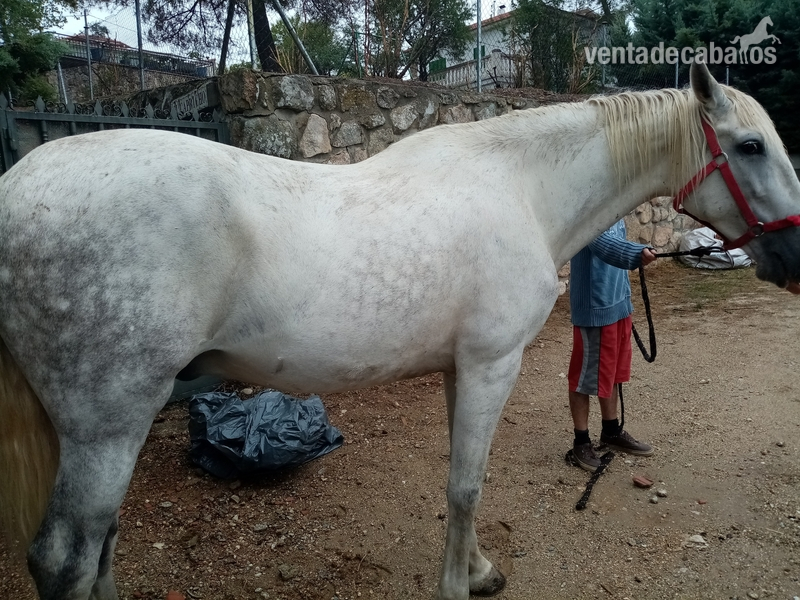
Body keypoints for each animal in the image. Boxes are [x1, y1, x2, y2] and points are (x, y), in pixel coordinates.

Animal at [1, 62, 798, 600]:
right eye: (751, 146)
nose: (794, 256)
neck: (523, 189)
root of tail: (16, 188)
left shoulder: (459, 368)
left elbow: (462, 480)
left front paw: (477, 570)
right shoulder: (492, 365)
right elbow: (466, 485)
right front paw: (459, 583)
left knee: (99, 548)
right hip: (109, 423)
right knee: (67, 558)